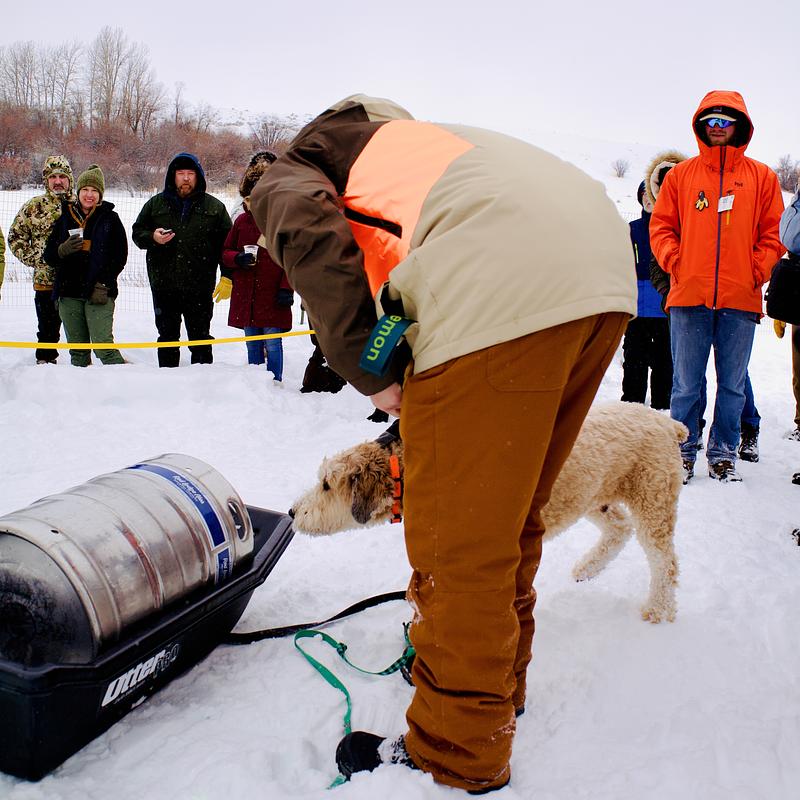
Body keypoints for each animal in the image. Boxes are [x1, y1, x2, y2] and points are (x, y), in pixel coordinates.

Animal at [290, 402, 688, 623]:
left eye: (326, 484)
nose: (293, 512)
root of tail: (667, 421)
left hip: (653, 499)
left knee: (665, 562)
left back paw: (659, 609)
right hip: (594, 496)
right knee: (619, 528)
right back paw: (587, 568)